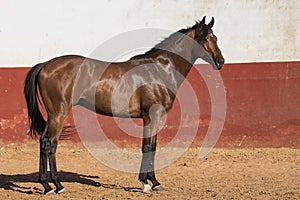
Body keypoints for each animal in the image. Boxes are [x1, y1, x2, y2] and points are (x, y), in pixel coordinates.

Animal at [23, 16, 224, 195]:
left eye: (215, 37)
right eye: (204, 38)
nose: (220, 61)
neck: (160, 69)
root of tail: (45, 65)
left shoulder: (152, 117)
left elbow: (152, 146)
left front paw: (152, 182)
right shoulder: (152, 116)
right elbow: (148, 148)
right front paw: (148, 183)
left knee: (46, 142)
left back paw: (48, 185)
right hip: (59, 113)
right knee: (49, 143)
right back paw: (54, 186)